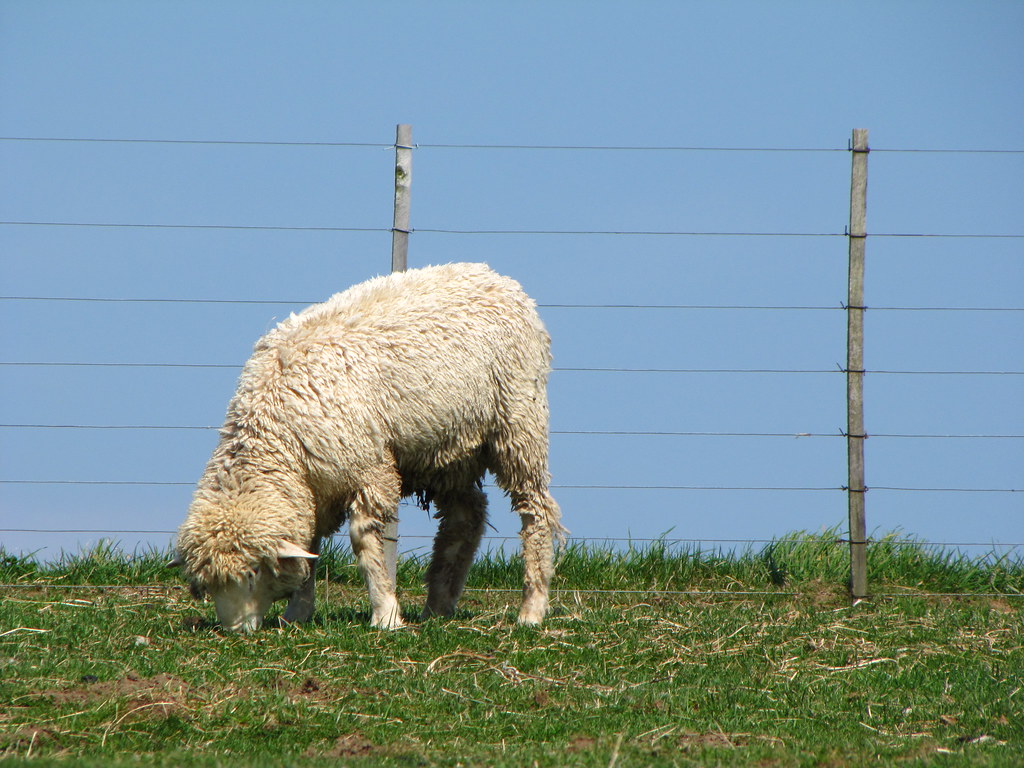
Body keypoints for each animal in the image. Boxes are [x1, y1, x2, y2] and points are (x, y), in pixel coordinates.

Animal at [173, 262, 564, 631]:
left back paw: (532, 608)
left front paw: (385, 614)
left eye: (253, 574)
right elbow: (310, 549)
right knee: (466, 515)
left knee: (535, 509)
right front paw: (297, 613)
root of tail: (500, 279)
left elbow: (365, 540)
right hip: (448, 448)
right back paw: (438, 604)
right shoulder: (316, 489)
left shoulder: (369, 466)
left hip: (518, 421)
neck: (275, 430)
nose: (236, 631)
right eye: (208, 587)